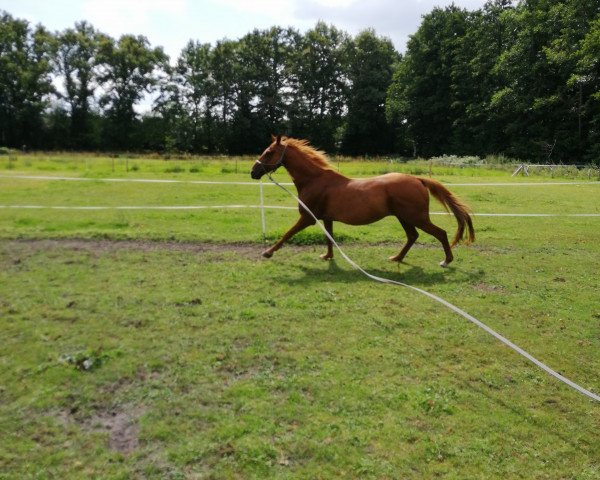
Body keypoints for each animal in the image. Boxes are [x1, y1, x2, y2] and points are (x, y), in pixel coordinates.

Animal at [250, 136, 474, 266]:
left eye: (269, 152)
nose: (253, 172)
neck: (315, 180)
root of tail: (418, 179)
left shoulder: (308, 218)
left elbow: (287, 234)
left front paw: (267, 252)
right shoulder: (326, 218)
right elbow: (329, 238)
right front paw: (327, 256)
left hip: (416, 217)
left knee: (440, 233)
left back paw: (446, 261)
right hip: (404, 217)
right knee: (412, 236)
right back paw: (397, 258)